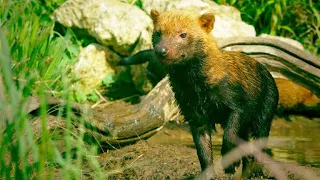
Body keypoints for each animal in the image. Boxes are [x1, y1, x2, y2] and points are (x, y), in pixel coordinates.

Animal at [150, 9, 278, 178]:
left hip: (265, 113)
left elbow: (229, 135)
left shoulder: (236, 104)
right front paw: (209, 175)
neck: (198, 87)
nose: (162, 51)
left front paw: (230, 165)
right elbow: (203, 150)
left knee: (259, 143)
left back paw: (257, 172)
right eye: (158, 32)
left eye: (183, 34)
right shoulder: (194, 113)